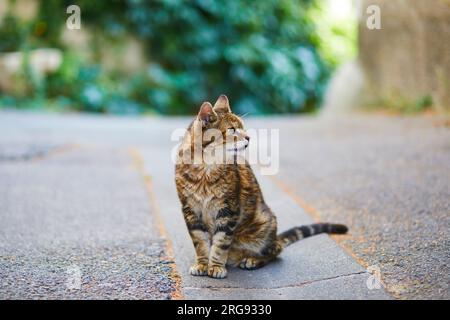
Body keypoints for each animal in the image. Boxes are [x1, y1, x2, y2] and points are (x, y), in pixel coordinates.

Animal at [173, 94, 348, 278]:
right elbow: (200, 241)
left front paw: (215, 266)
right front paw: (202, 264)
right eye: (232, 130)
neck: (205, 169)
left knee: (275, 251)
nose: (248, 137)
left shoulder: (228, 209)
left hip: (265, 223)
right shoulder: (190, 209)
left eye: (243, 128)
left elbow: (221, 243)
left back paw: (252, 259)